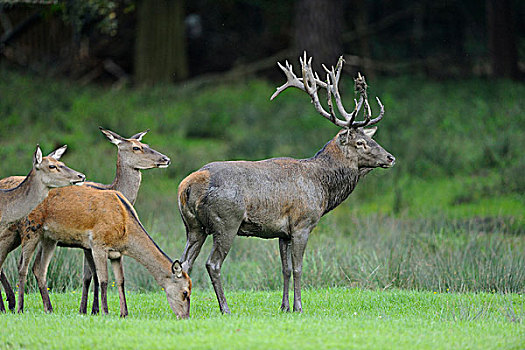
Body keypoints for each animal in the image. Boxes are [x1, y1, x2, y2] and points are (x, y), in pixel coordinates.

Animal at [178, 53, 396, 314]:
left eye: (370, 138)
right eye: (360, 143)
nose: (390, 157)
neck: (322, 189)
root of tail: (188, 185)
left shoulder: (282, 232)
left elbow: (285, 269)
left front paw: (284, 307)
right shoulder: (303, 224)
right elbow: (300, 268)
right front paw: (299, 307)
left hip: (193, 226)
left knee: (183, 263)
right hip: (226, 221)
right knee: (213, 264)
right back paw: (225, 309)